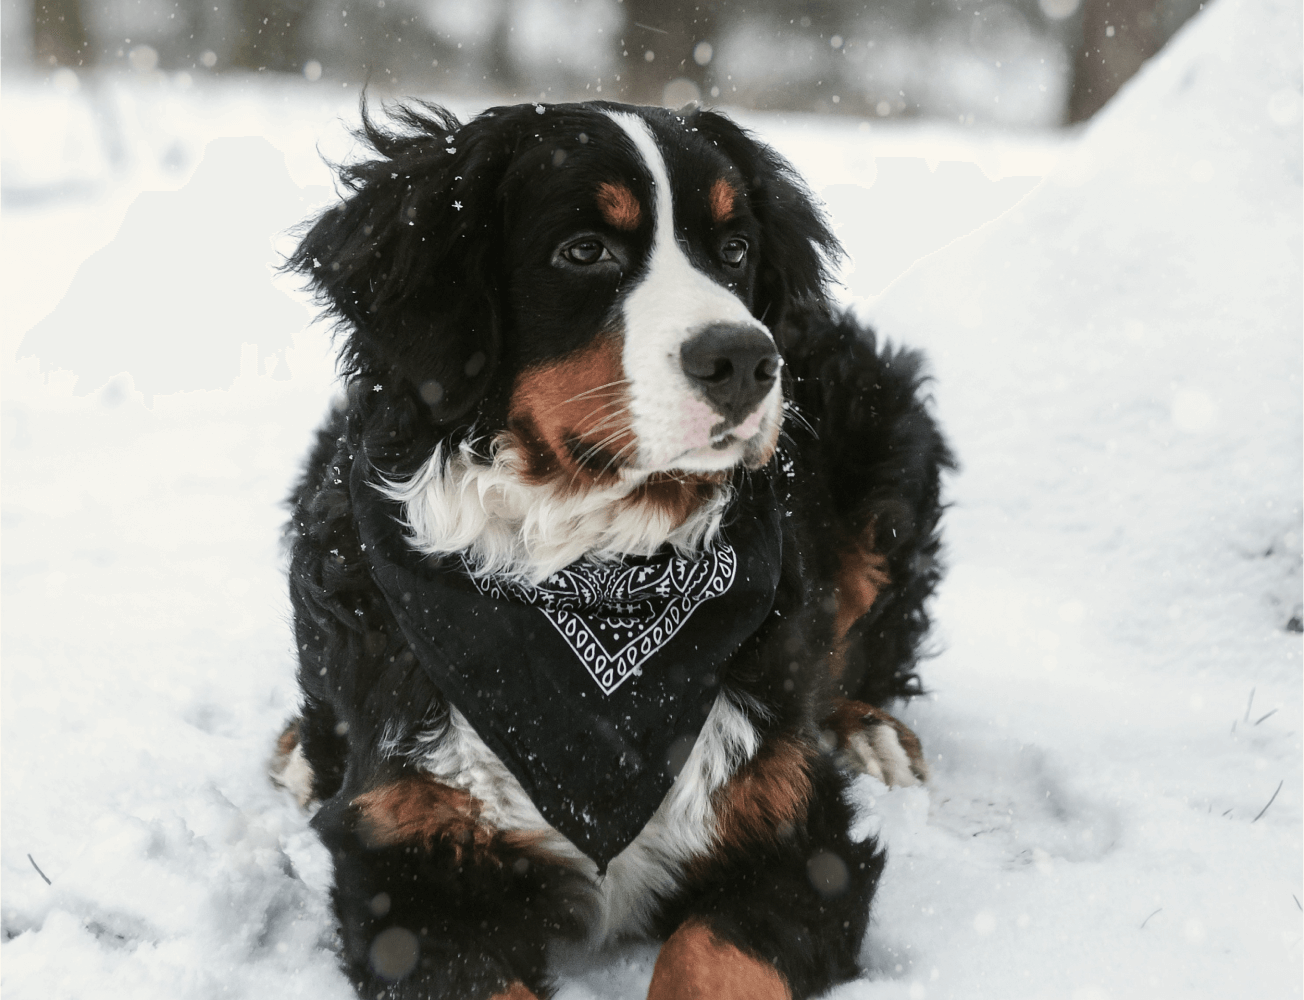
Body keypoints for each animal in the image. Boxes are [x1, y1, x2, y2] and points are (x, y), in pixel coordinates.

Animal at [269, 99, 954, 1000]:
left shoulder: (800, 830)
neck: (593, 564)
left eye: (734, 250)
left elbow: (714, 953)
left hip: (885, 442)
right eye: (585, 250)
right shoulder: (406, 867)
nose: (745, 359)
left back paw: (869, 732)